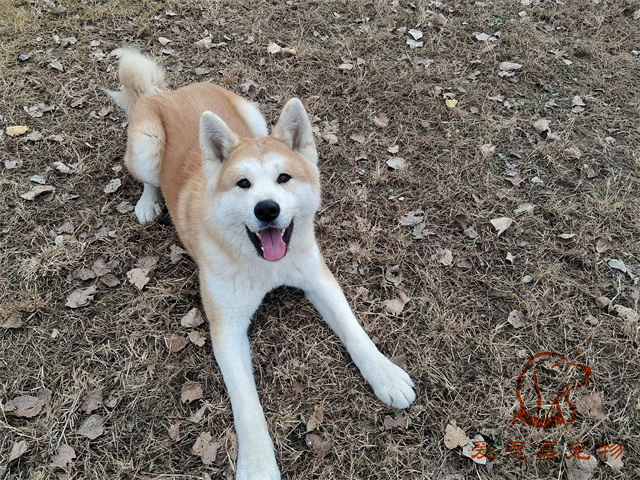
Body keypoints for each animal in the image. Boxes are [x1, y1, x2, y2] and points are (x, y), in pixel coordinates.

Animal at [107, 48, 415, 479]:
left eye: (284, 178)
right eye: (243, 184)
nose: (267, 209)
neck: (266, 265)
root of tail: (168, 93)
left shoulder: (319, 280)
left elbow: (354, 330)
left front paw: (384, 374)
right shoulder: (226, 327)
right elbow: (247, 403)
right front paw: (256, 462)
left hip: (252, 118)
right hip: (145, 149)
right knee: (148, 180)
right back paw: (148, 203)